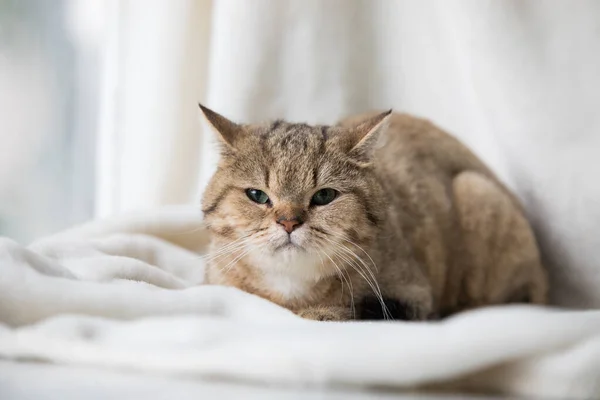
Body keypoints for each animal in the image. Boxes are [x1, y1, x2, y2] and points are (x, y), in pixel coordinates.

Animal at [199, 104, 548, 320]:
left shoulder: (412, 298)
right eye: (257, 195)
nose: (288, 222)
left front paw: (320, 312)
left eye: (324, 195)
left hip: (475, 189)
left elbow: (351, 309)